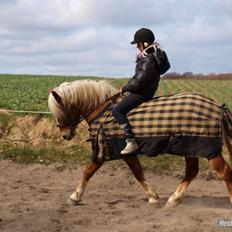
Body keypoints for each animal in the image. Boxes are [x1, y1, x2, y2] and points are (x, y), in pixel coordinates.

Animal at [47, 80, 232, 207]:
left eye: (60, 110)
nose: (65, 135)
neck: (102, 111)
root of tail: (218, 106)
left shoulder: (104, 151)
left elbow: (87, 172)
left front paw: (75, 197)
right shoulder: (127, 153)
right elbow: (138, 172)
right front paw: (153, 196)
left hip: (205, 149)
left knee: (224, 172)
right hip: (189, 148)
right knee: (192, 171)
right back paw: (173, 199)